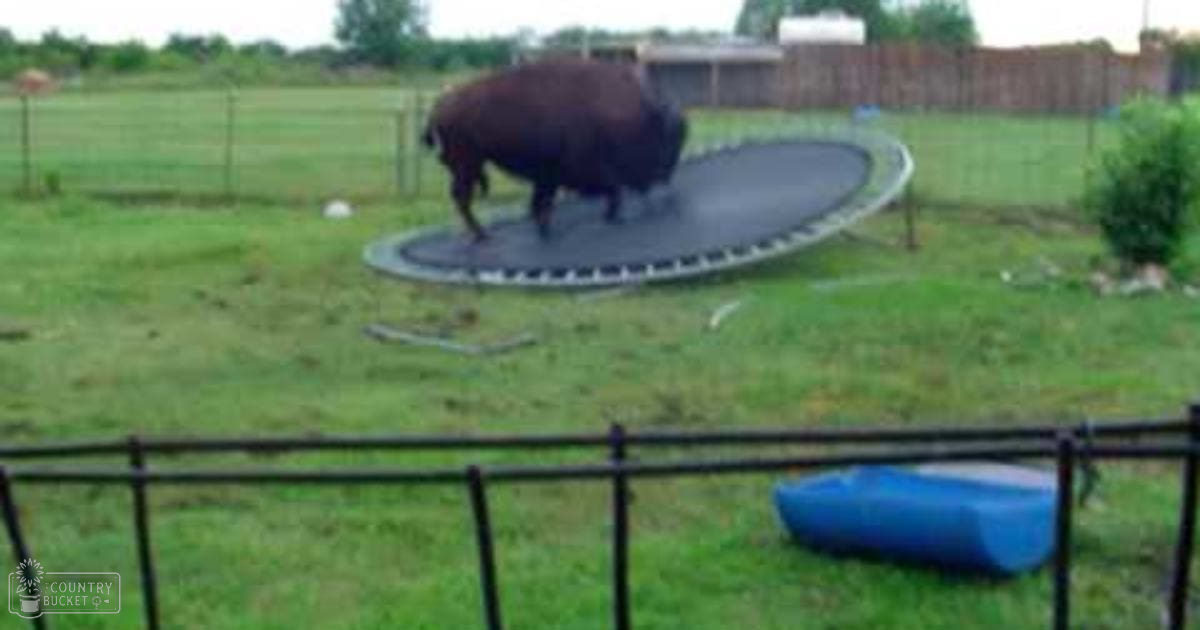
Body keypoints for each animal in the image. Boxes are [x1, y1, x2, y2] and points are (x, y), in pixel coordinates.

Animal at [423, 58, 687, 241]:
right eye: (665, 141)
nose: (663, 177)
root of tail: (440, 106)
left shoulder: (548, 176)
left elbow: (542, 202)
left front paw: (544, 229)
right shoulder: (579, 172)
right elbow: (611, 190)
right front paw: (610, 216)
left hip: (470, 165)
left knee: (461, 197)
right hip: (467, 164)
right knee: (462, 197)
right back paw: (482, 235)